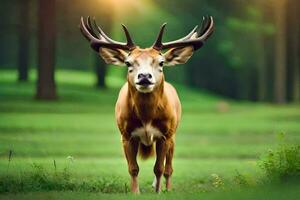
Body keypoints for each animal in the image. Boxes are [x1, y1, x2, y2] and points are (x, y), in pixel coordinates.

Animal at [79, 16, 214, 194]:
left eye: (161, 62)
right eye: (128, 63)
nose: (144, 76)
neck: (146, 117)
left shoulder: (165, 135)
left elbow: (159, 168)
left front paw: (158, 192)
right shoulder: (126, 135)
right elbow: (133, 168)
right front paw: (135, 192)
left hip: (173, 135)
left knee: (169, 168)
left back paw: (167, 188)